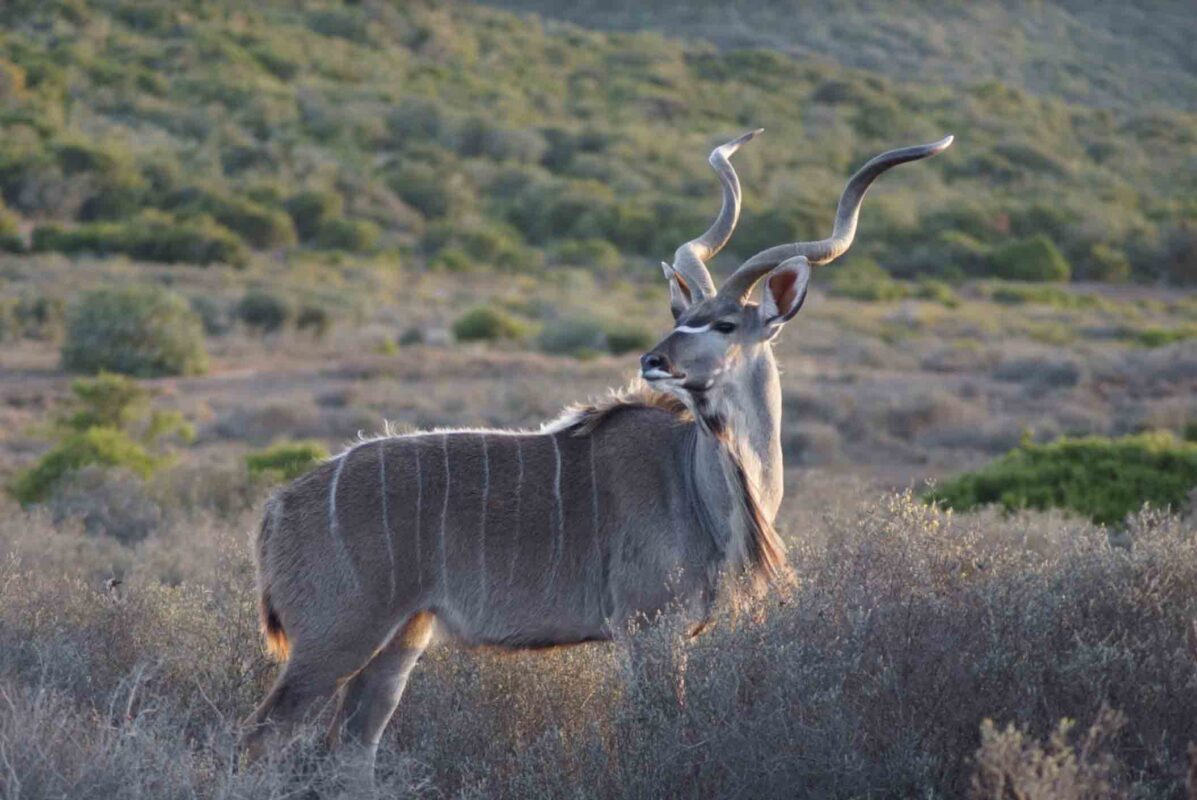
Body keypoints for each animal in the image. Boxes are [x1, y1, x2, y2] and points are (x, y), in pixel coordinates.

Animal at [245, 128, 952, 771]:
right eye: (680, 317)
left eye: (724, 323)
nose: (653, 360)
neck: (698, 486)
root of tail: (279, 507)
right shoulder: (648, 630)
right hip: (335, 640)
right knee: (264, 738)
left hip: (398, 642)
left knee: (350, 747)